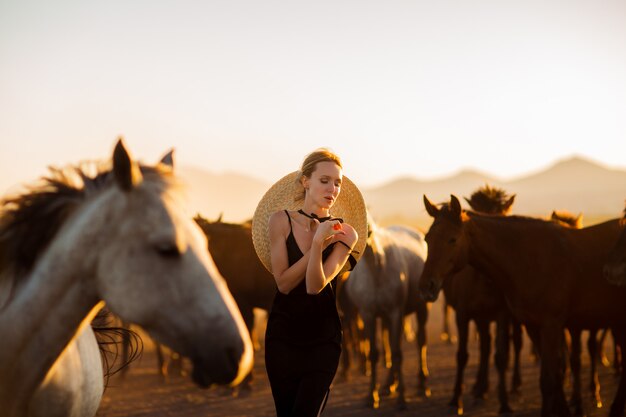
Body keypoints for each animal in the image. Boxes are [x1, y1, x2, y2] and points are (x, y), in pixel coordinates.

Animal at [342, 216, 428, 408]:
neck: (376, 270)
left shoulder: (395, 312)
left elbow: (397, 354)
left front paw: (402, 400)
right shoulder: (368, 314)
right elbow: (374, 354)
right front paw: (371, 396)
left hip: (421, 308)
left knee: (420, 342)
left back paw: (422, 384)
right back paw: (389, 384)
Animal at [416, 195, 624, 416]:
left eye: (452, 239)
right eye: (427, 239)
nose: (426, 286)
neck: (528, 259)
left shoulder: (551, 326)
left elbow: (549, 379)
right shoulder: (533, 326)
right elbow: (552, 377)